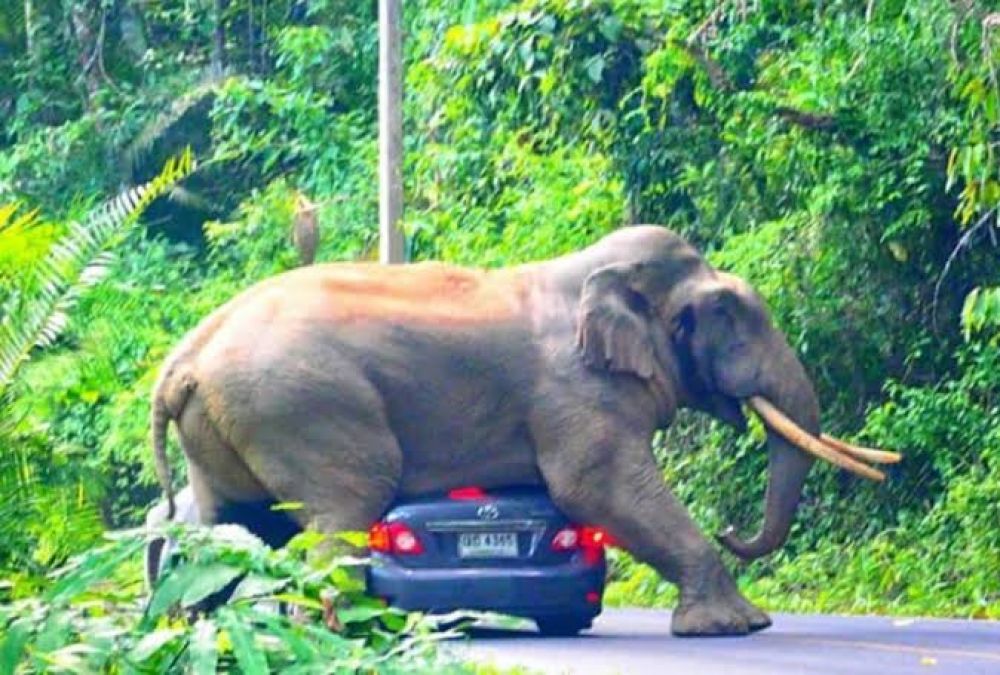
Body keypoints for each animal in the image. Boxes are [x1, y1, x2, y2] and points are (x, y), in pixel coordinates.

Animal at [150, 224, 900, 636]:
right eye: (730, 313)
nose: (732, 530)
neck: (592, 272)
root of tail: (183, 359)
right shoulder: (575, 392)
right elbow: (596, 487)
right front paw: (736, 627)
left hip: (228, 427)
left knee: (231, 524)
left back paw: (203, 630)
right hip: (303, 408)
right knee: (344, 508)